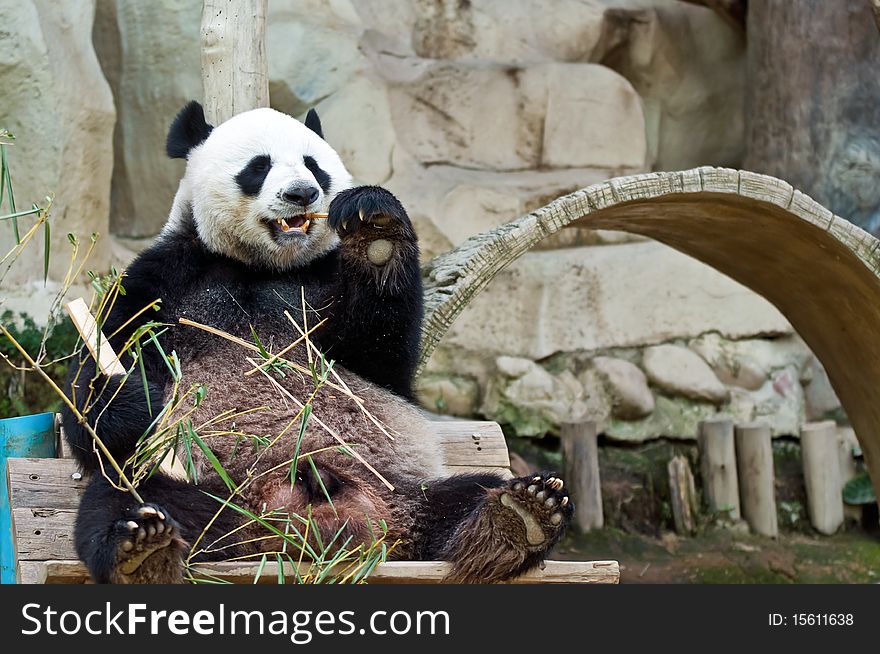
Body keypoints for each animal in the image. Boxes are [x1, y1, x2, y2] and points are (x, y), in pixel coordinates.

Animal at [62, 102, 572, 584]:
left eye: (314, 165)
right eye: (259, 166)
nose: (302, 194)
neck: (262, 265)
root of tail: (323, 529)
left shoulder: (323, 284)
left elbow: (383, 360)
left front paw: (376, 230)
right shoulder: (161, 280)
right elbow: (95, 404)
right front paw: (130, 395)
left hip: (401, 487)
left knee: (465, 496)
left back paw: (517, 519)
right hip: (208, 492)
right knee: (127, 500)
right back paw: (142, 550)